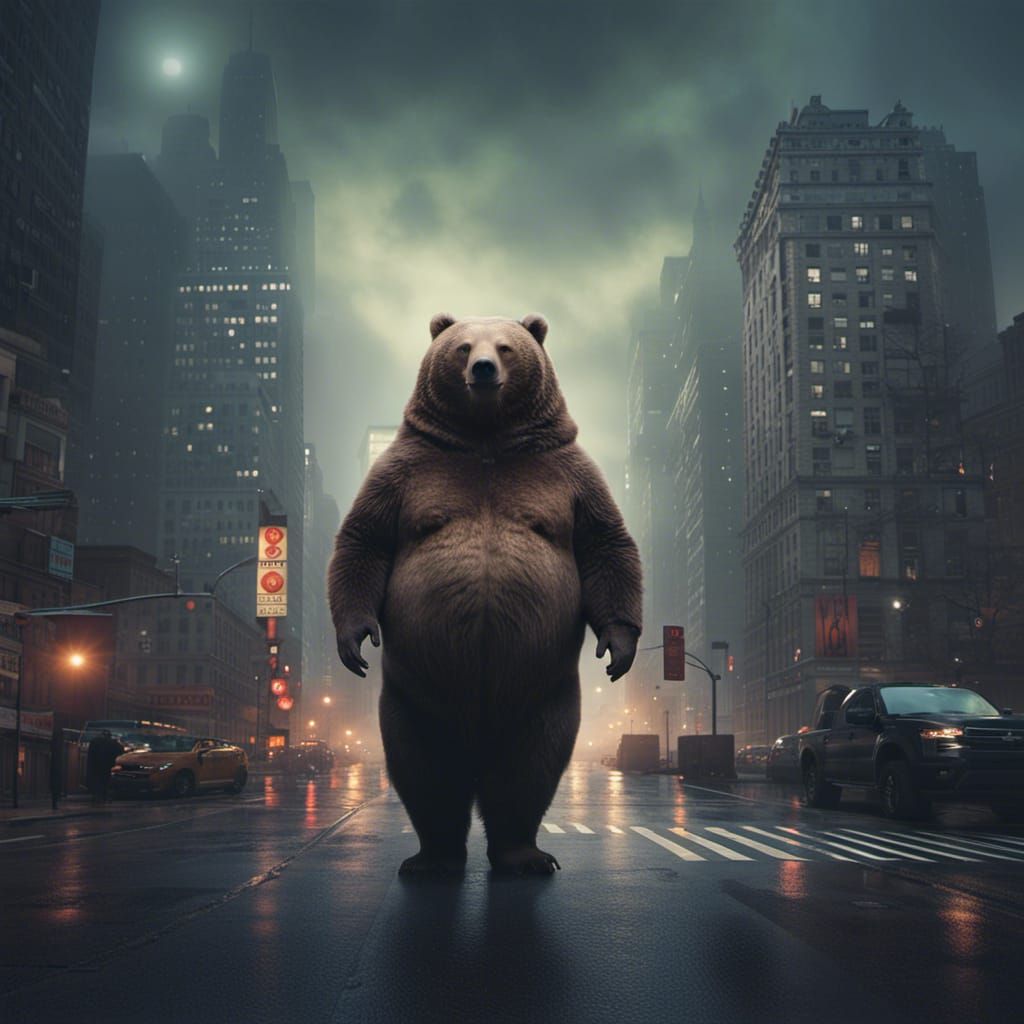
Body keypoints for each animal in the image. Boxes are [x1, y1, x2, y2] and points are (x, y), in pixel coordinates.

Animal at [328, 312, 642, 876]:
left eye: (505, 347)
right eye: (462, 346)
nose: (482, 369)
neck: (486, 439)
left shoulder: (570, 474)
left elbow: (605, 541)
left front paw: (619, 646)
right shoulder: (404, 470)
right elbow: (366, 536)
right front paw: (355, 639)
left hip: (540, 688)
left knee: (532, 762)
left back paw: (524, 852)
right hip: (417, 688)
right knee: (422, 763)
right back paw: (433, 857)